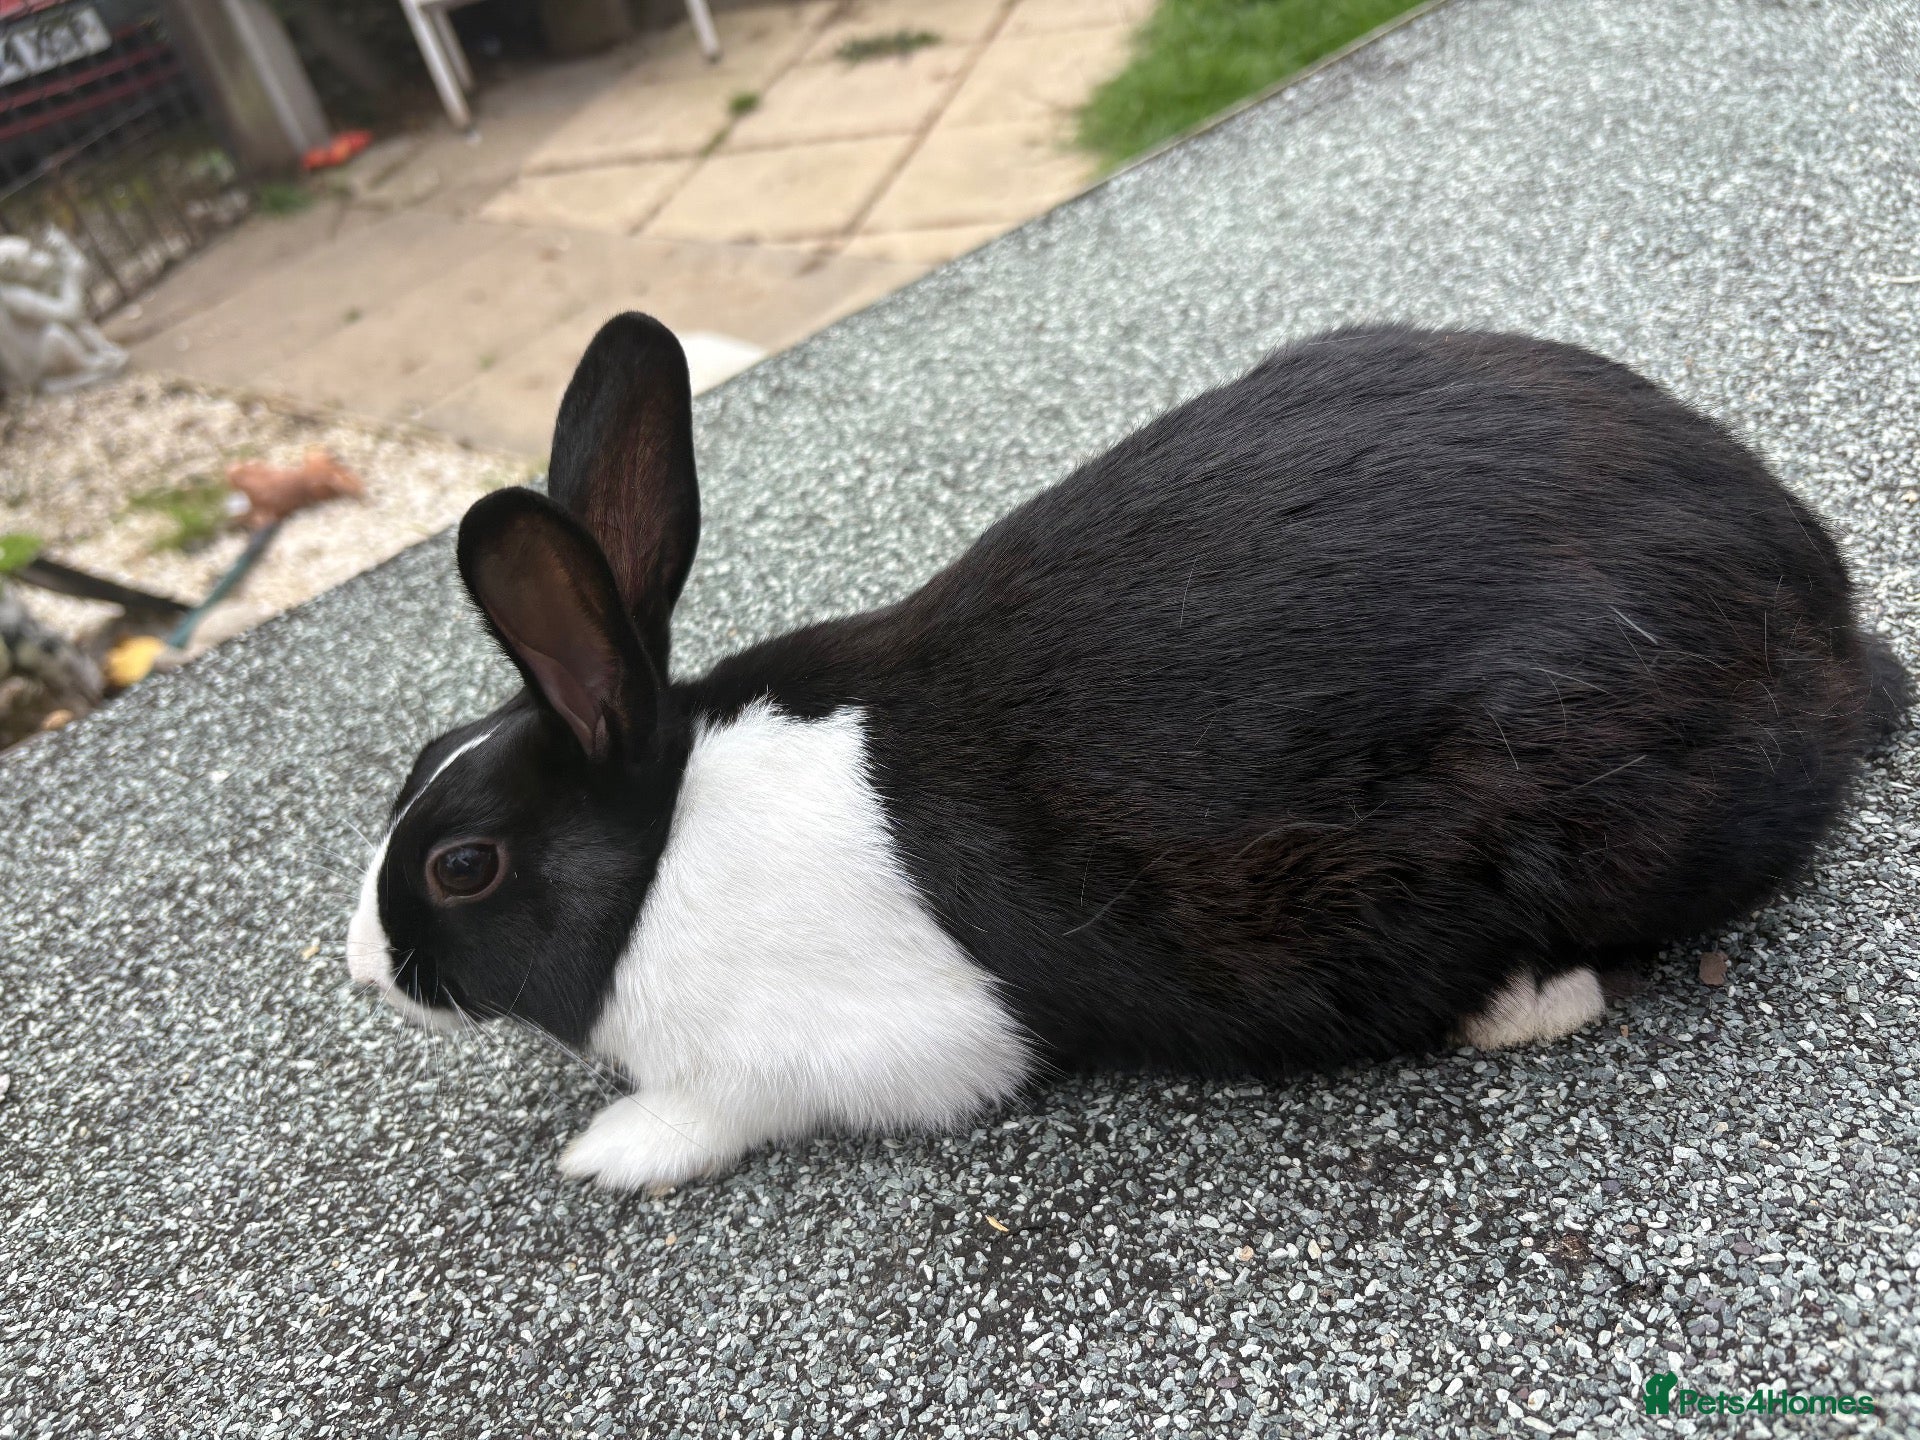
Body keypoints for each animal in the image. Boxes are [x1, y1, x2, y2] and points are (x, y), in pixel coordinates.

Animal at [346, 313, 1908, 1191]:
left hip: (1591, 798)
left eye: (467, 865)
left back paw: (1514, 1006)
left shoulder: (882, 1046)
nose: (363, 968)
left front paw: (612, 1155)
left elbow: (731, 1104)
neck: (665, 848)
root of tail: (1825, 619)